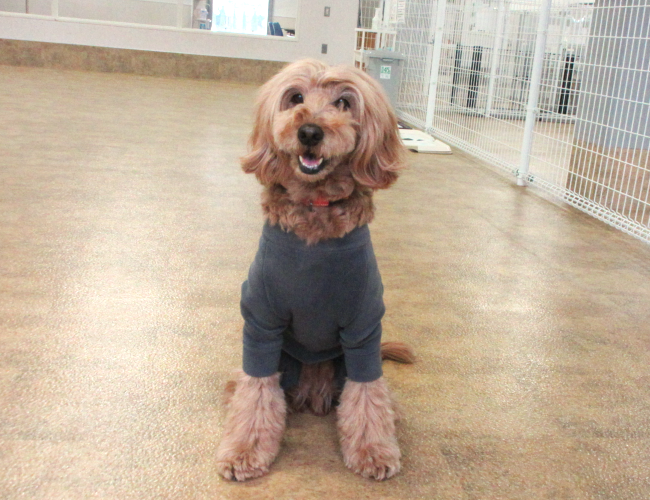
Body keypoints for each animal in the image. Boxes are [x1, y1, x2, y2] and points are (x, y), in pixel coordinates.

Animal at [216, 59, 413, 482]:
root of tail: (312, 396)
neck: (316, 208)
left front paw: (373, 451)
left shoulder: (363, 330)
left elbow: (368, 396)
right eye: (295, 98)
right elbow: (255, 394)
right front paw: (244, 451)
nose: (309, 131)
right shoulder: (261, 325)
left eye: (343, 102)